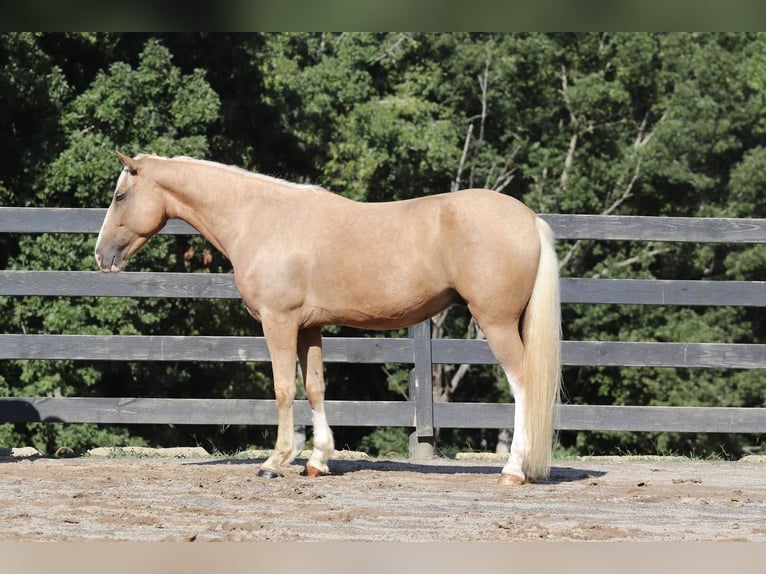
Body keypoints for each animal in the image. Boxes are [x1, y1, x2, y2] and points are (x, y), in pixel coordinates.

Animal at [96, 153, 564, 486]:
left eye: (120, 197)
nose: (102, 256)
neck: (262, 218)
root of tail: (529, 218)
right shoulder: (309, 328)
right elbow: (315, 387)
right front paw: (318, 460)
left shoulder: (279, 323)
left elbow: (284, 389)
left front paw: (275, 461)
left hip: (497, 323)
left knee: (524, 384)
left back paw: (513, 470)